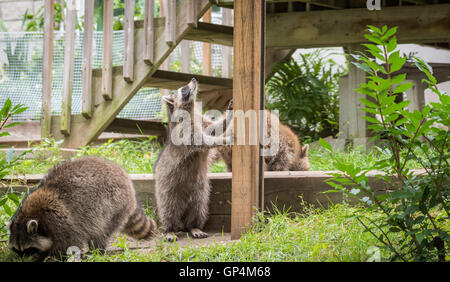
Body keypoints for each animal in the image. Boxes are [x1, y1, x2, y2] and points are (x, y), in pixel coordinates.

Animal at [4, 155, 156, 262]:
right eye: (16, 249)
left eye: (29, 249)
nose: (20, 259)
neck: (30, 215)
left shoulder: (63, 223)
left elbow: (66, 245)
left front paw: (48, 257)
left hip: (114, 205)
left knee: (100, 231)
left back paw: (96, 251)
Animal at [155, 78, 232, 241]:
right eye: (184, 89)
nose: (194, 79)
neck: (189, 110)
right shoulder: (185, 131)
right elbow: (204, 140)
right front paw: (224, 138)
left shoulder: (200, 120)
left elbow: (215, 128)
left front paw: (229, 114)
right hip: (167, 188)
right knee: (168, 209)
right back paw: (169, 228)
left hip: (201, 192)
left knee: (198, 208)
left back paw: (194, 226)